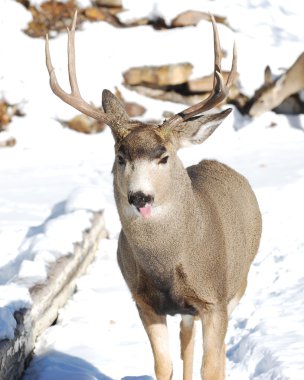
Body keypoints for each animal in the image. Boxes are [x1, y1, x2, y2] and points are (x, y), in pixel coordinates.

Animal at [45, 11, 262, 378]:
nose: (140, 197)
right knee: (187, 340)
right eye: (120, 157)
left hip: (240, 282)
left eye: (164, 156)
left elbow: (212, 367)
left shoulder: (214, 300)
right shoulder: (143, 301)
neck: (166, 265)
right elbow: (164, 364)